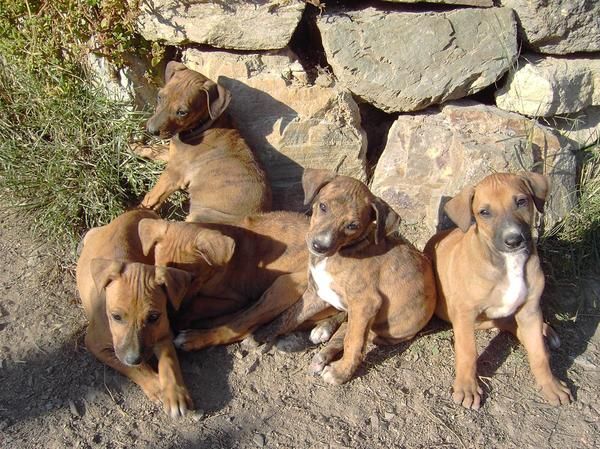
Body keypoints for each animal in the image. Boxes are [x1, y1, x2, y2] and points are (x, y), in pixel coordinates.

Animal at [75, 210, 192, 416]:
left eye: (154, 317)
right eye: (116, 317)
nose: (134, 358)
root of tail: (138, 210)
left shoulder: (163, 334)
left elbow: (169, 362)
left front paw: (175, 394)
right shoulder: (95, 344)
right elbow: (132, 368)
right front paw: (157, 386)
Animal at [141, 61, 270, 222]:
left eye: (182, 112)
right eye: (160, 97)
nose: (151, 130)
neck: (202, 125)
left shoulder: (174, 173)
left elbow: (150, 198)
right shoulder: (174, 156)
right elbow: (153, 150)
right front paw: (134, 147)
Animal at [253, 170, 436, 384]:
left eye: (352, 225)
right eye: (323, 206)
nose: (319, 246)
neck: (340, 253)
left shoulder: (365, 303)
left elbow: (354, 342)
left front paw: (341, 373)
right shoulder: (317, 292)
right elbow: (290, 315)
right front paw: (262, 334)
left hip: (379, 328)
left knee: (351, 333)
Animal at [424, 172, 576, 410]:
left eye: (521, 201)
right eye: (484, 212)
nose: (513, 240)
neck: (508, 262)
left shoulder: (530, 310)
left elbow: (539, 355)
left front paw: (550, 385)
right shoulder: (465, 314)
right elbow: (467, 352)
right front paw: (467, 388)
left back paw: (545, 333)